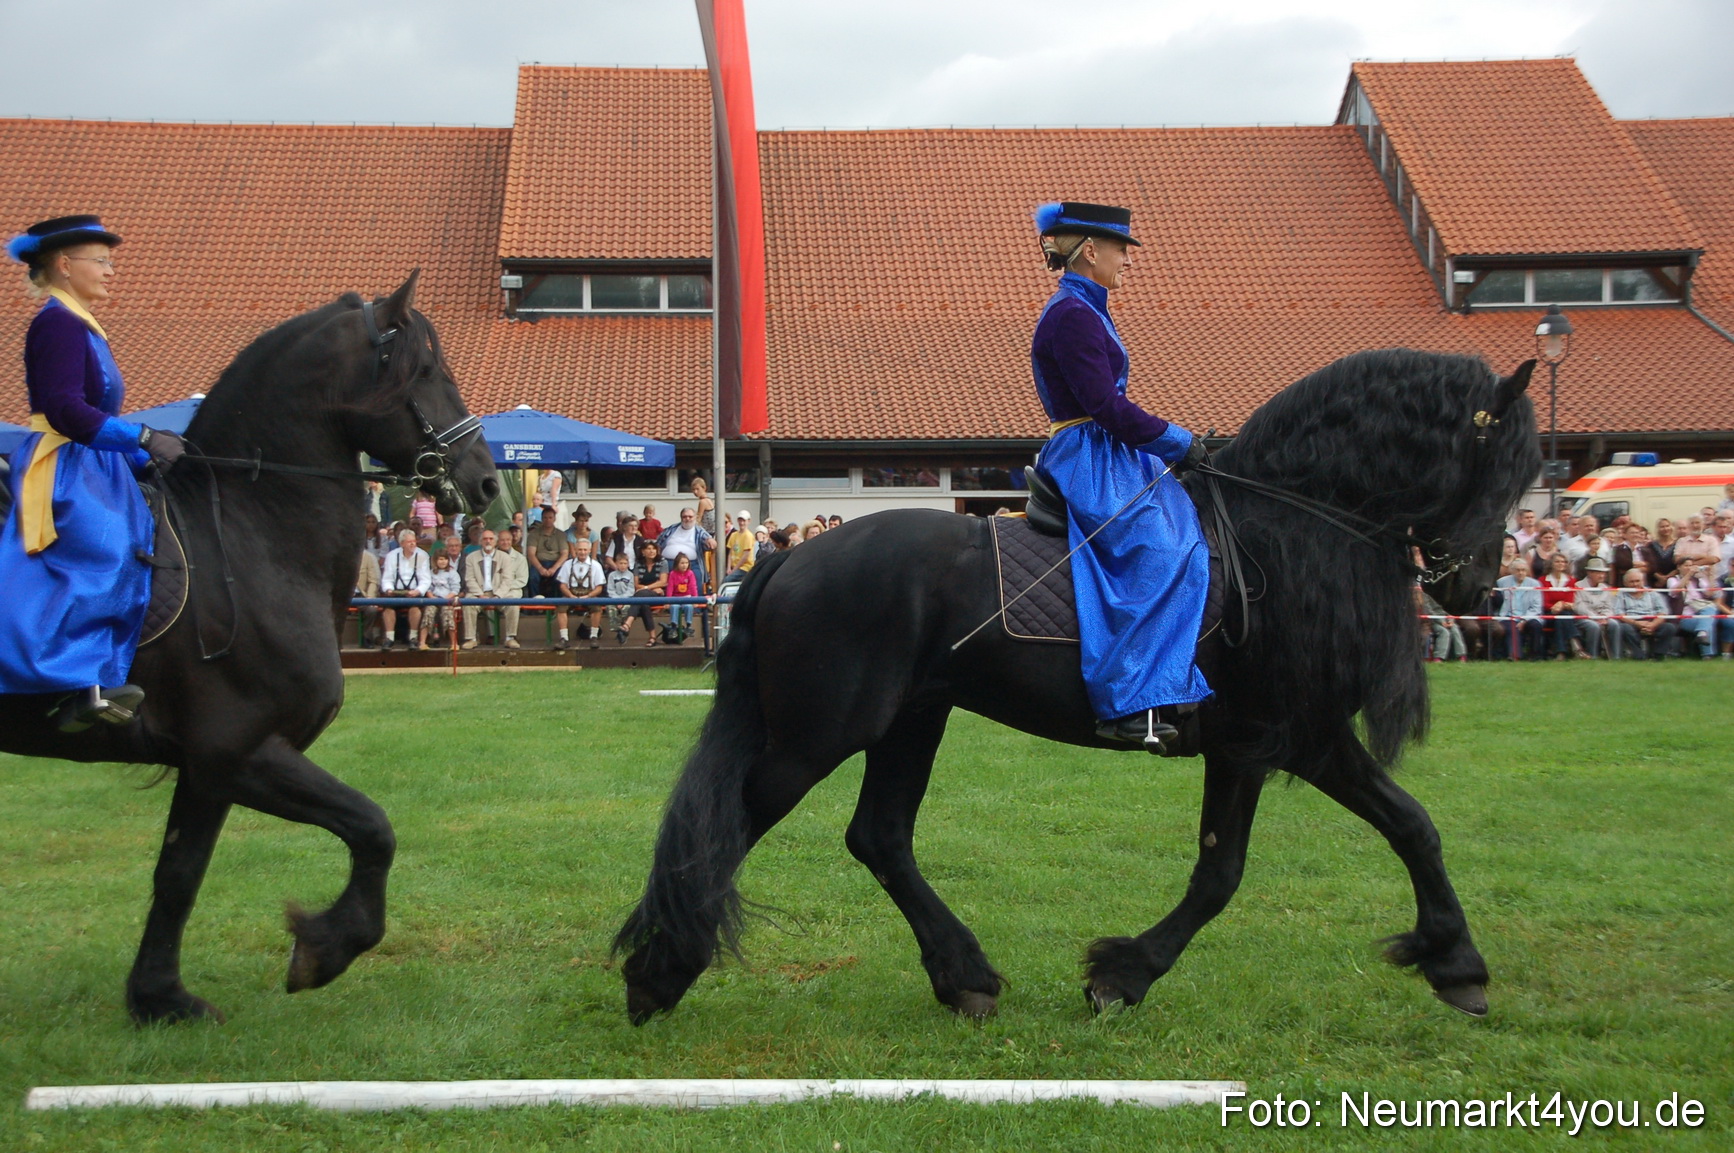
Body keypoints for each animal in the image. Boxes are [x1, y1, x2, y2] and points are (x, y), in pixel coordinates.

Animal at [0, 273, 498, 1024]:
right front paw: (326, 947)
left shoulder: (209, 766)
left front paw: (161, 996)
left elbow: (179, 873)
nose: (488, 481)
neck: (245, 532)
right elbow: (373, 827)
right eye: (430, 372)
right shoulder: (240, 748)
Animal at [616, 348, 1539, 1023]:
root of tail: (788, 555)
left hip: (910, 720)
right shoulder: (1271, 738)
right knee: (733, 822)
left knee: (878, 836)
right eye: (1502, 463)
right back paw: (660, 968)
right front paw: (1124, 974)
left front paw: (1455, 960)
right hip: (819, 735)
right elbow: (1234, 869)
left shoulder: (1295, 737)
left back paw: (962, 974)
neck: (1282, 525)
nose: (1478, 587)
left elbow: (1404, 828)